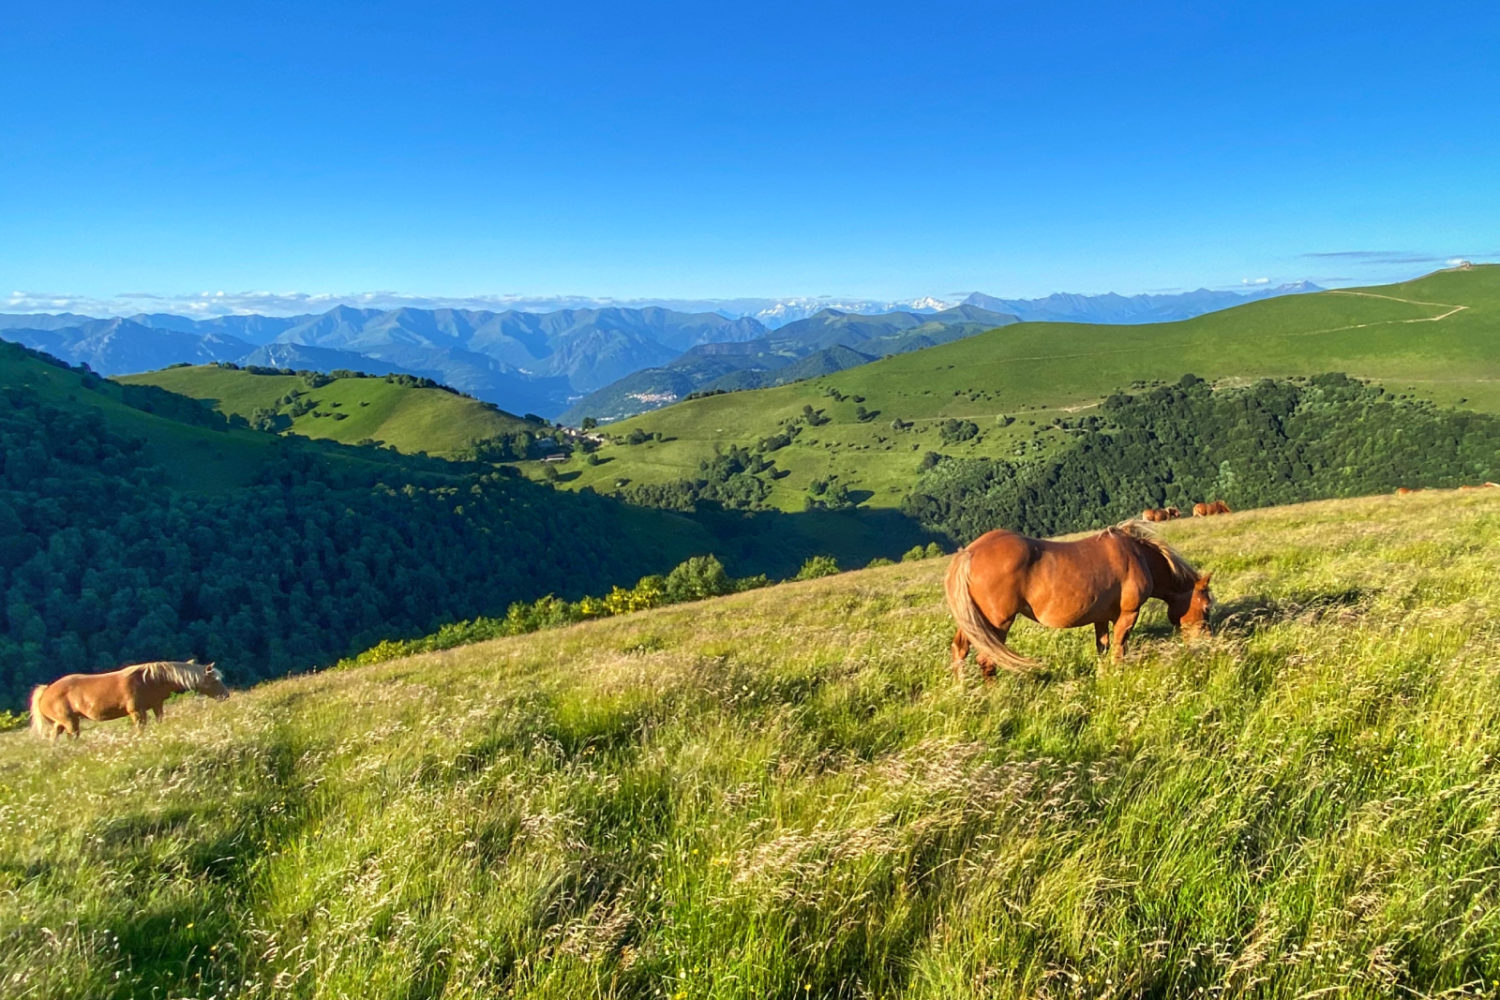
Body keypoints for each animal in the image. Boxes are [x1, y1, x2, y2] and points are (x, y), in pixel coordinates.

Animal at [30, 659, 228, 740]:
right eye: (215, 680)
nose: (226, 695)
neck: (150, 679)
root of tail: (46, 691)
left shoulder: (157, 706)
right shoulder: (136, 711)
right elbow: (140, 729)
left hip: (61, 723)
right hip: (70, 722)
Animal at [942, 521, 1212, 677]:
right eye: (1206, 608)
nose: (1207, 645)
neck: (1137, 555)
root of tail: (970, 552)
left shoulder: (1101, 618)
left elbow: (1103, 648)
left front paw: (1102, 676)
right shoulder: (1128, 615)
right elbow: (1119, 649)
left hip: (974, 623)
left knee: (960, 650)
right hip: (997, 624)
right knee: (987, 661)